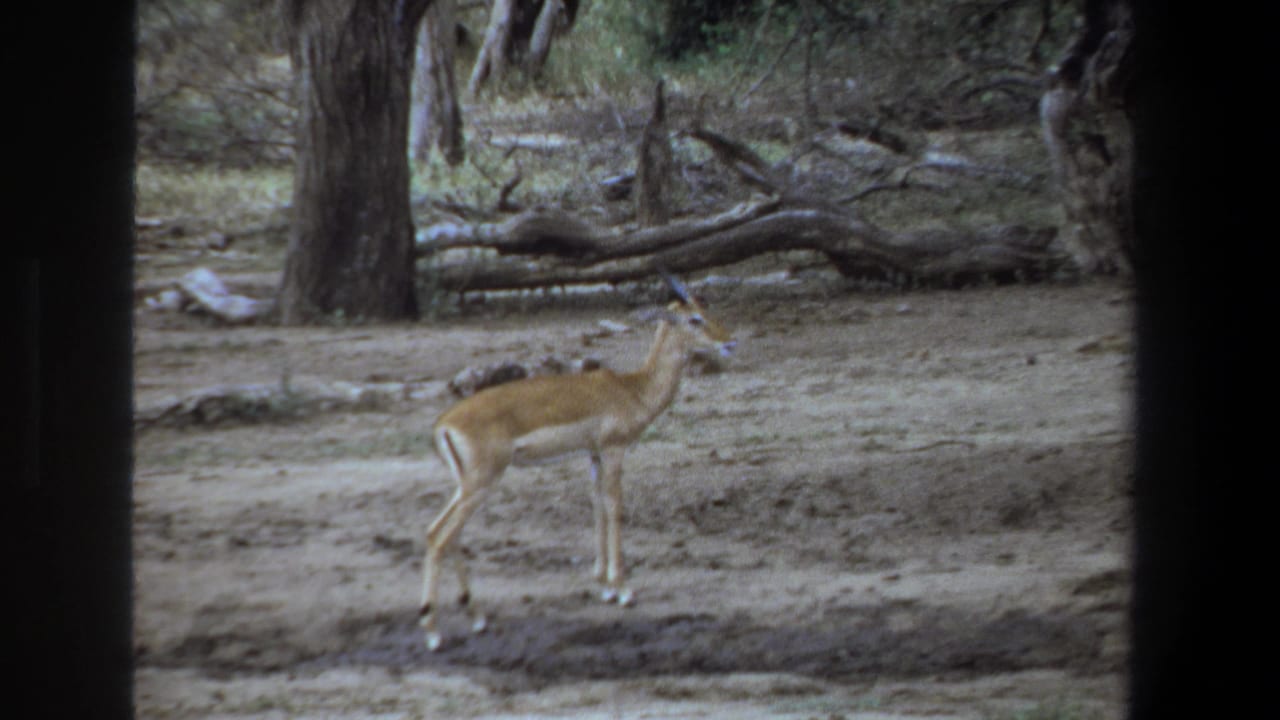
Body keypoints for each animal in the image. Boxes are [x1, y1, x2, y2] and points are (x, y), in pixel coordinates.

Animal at [418, 274, 736, 651]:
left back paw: (477, 618)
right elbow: (614, 507)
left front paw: (604, 585)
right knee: (442, 536)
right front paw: (624, 590)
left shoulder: (593, 454)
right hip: (482, 483)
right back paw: (434, 632)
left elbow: (597, 505)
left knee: (439, 532)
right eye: (694, 319)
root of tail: (443, 424)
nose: (730, 342)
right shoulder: (614, 450)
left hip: (467, 485)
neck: (633, 390)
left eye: (707, 309)